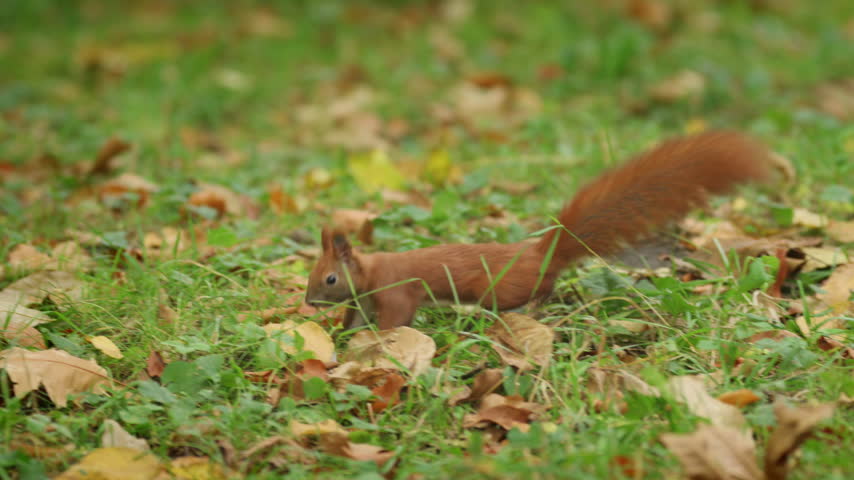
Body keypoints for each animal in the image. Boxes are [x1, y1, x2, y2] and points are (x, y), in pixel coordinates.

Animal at [306, 130, 772, 330]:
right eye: (314, 274)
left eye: (329, 278)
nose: (309, 302)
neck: (369, 272)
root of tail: (540, 252)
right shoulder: (364, 300)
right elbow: (354, 319)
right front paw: (346, 339)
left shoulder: (396, 291)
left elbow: (397, 319)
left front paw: (382, 344)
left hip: (498, 289)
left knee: (535, 291)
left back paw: (533, 310)